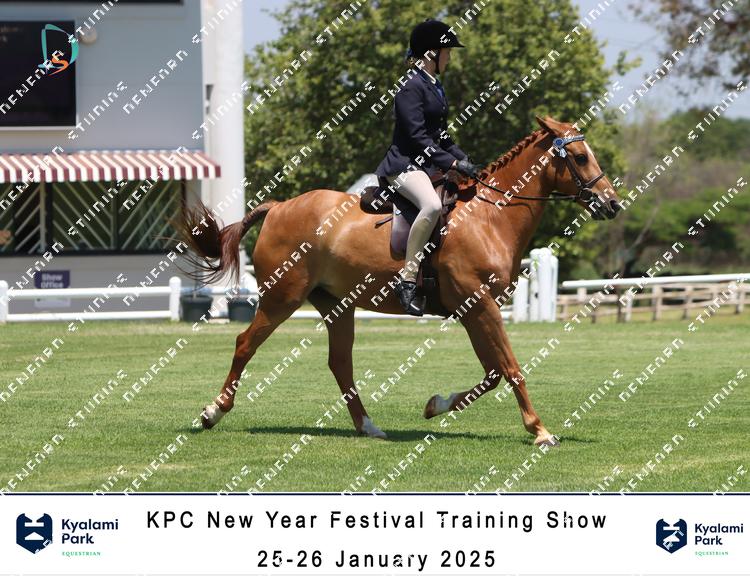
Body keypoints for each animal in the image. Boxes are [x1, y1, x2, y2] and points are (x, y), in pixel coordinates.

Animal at [180, 116, 621, 446]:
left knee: (340, 362)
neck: (489, 215)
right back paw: (212, 412)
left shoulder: (474, 310)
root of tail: (279, 206)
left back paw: (368, 426)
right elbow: (511, 368)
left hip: (336, 304)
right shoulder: (481, 305)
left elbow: (493, 372)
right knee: (245, 344)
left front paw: (435, 405)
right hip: (281, 298)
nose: (613, 204)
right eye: (579, 157)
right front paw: (540, 430)